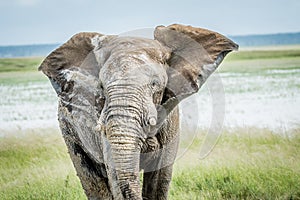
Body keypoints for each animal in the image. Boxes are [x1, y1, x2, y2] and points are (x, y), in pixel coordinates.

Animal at [38, 23, 238, 198]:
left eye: (155, 84)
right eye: (101, 86)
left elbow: (160, 179)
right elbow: (116, 177)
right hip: (69, 130)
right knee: (92, 180)